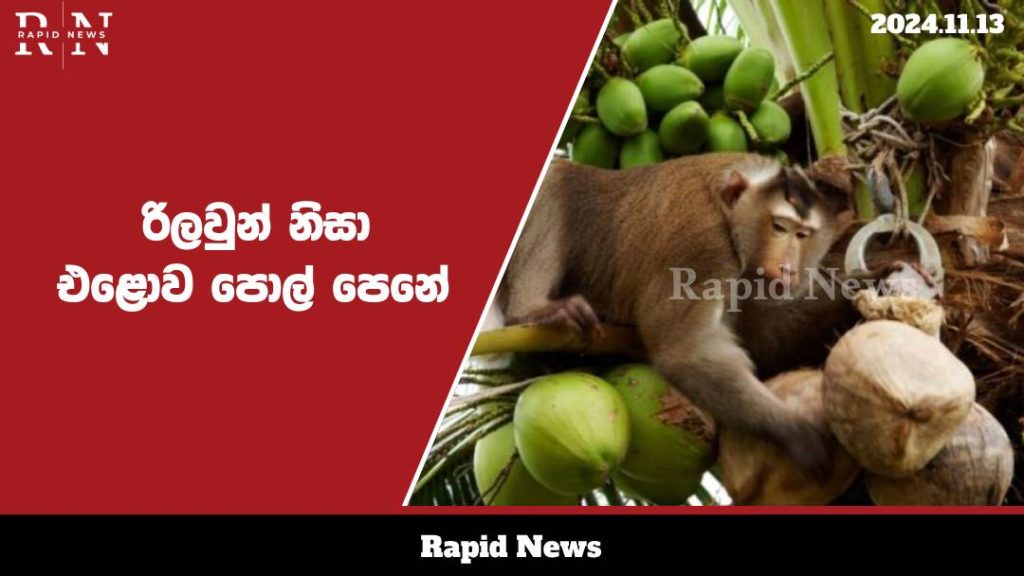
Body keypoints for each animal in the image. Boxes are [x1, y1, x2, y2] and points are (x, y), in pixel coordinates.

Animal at [499, 153, 852, 478]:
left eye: (803, 235)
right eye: (779, 227)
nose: (789, 268)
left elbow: (766, 341)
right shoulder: (704, 246)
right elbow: (685, 355)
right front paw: (795, 431)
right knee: (556, 179)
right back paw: (530, 311)